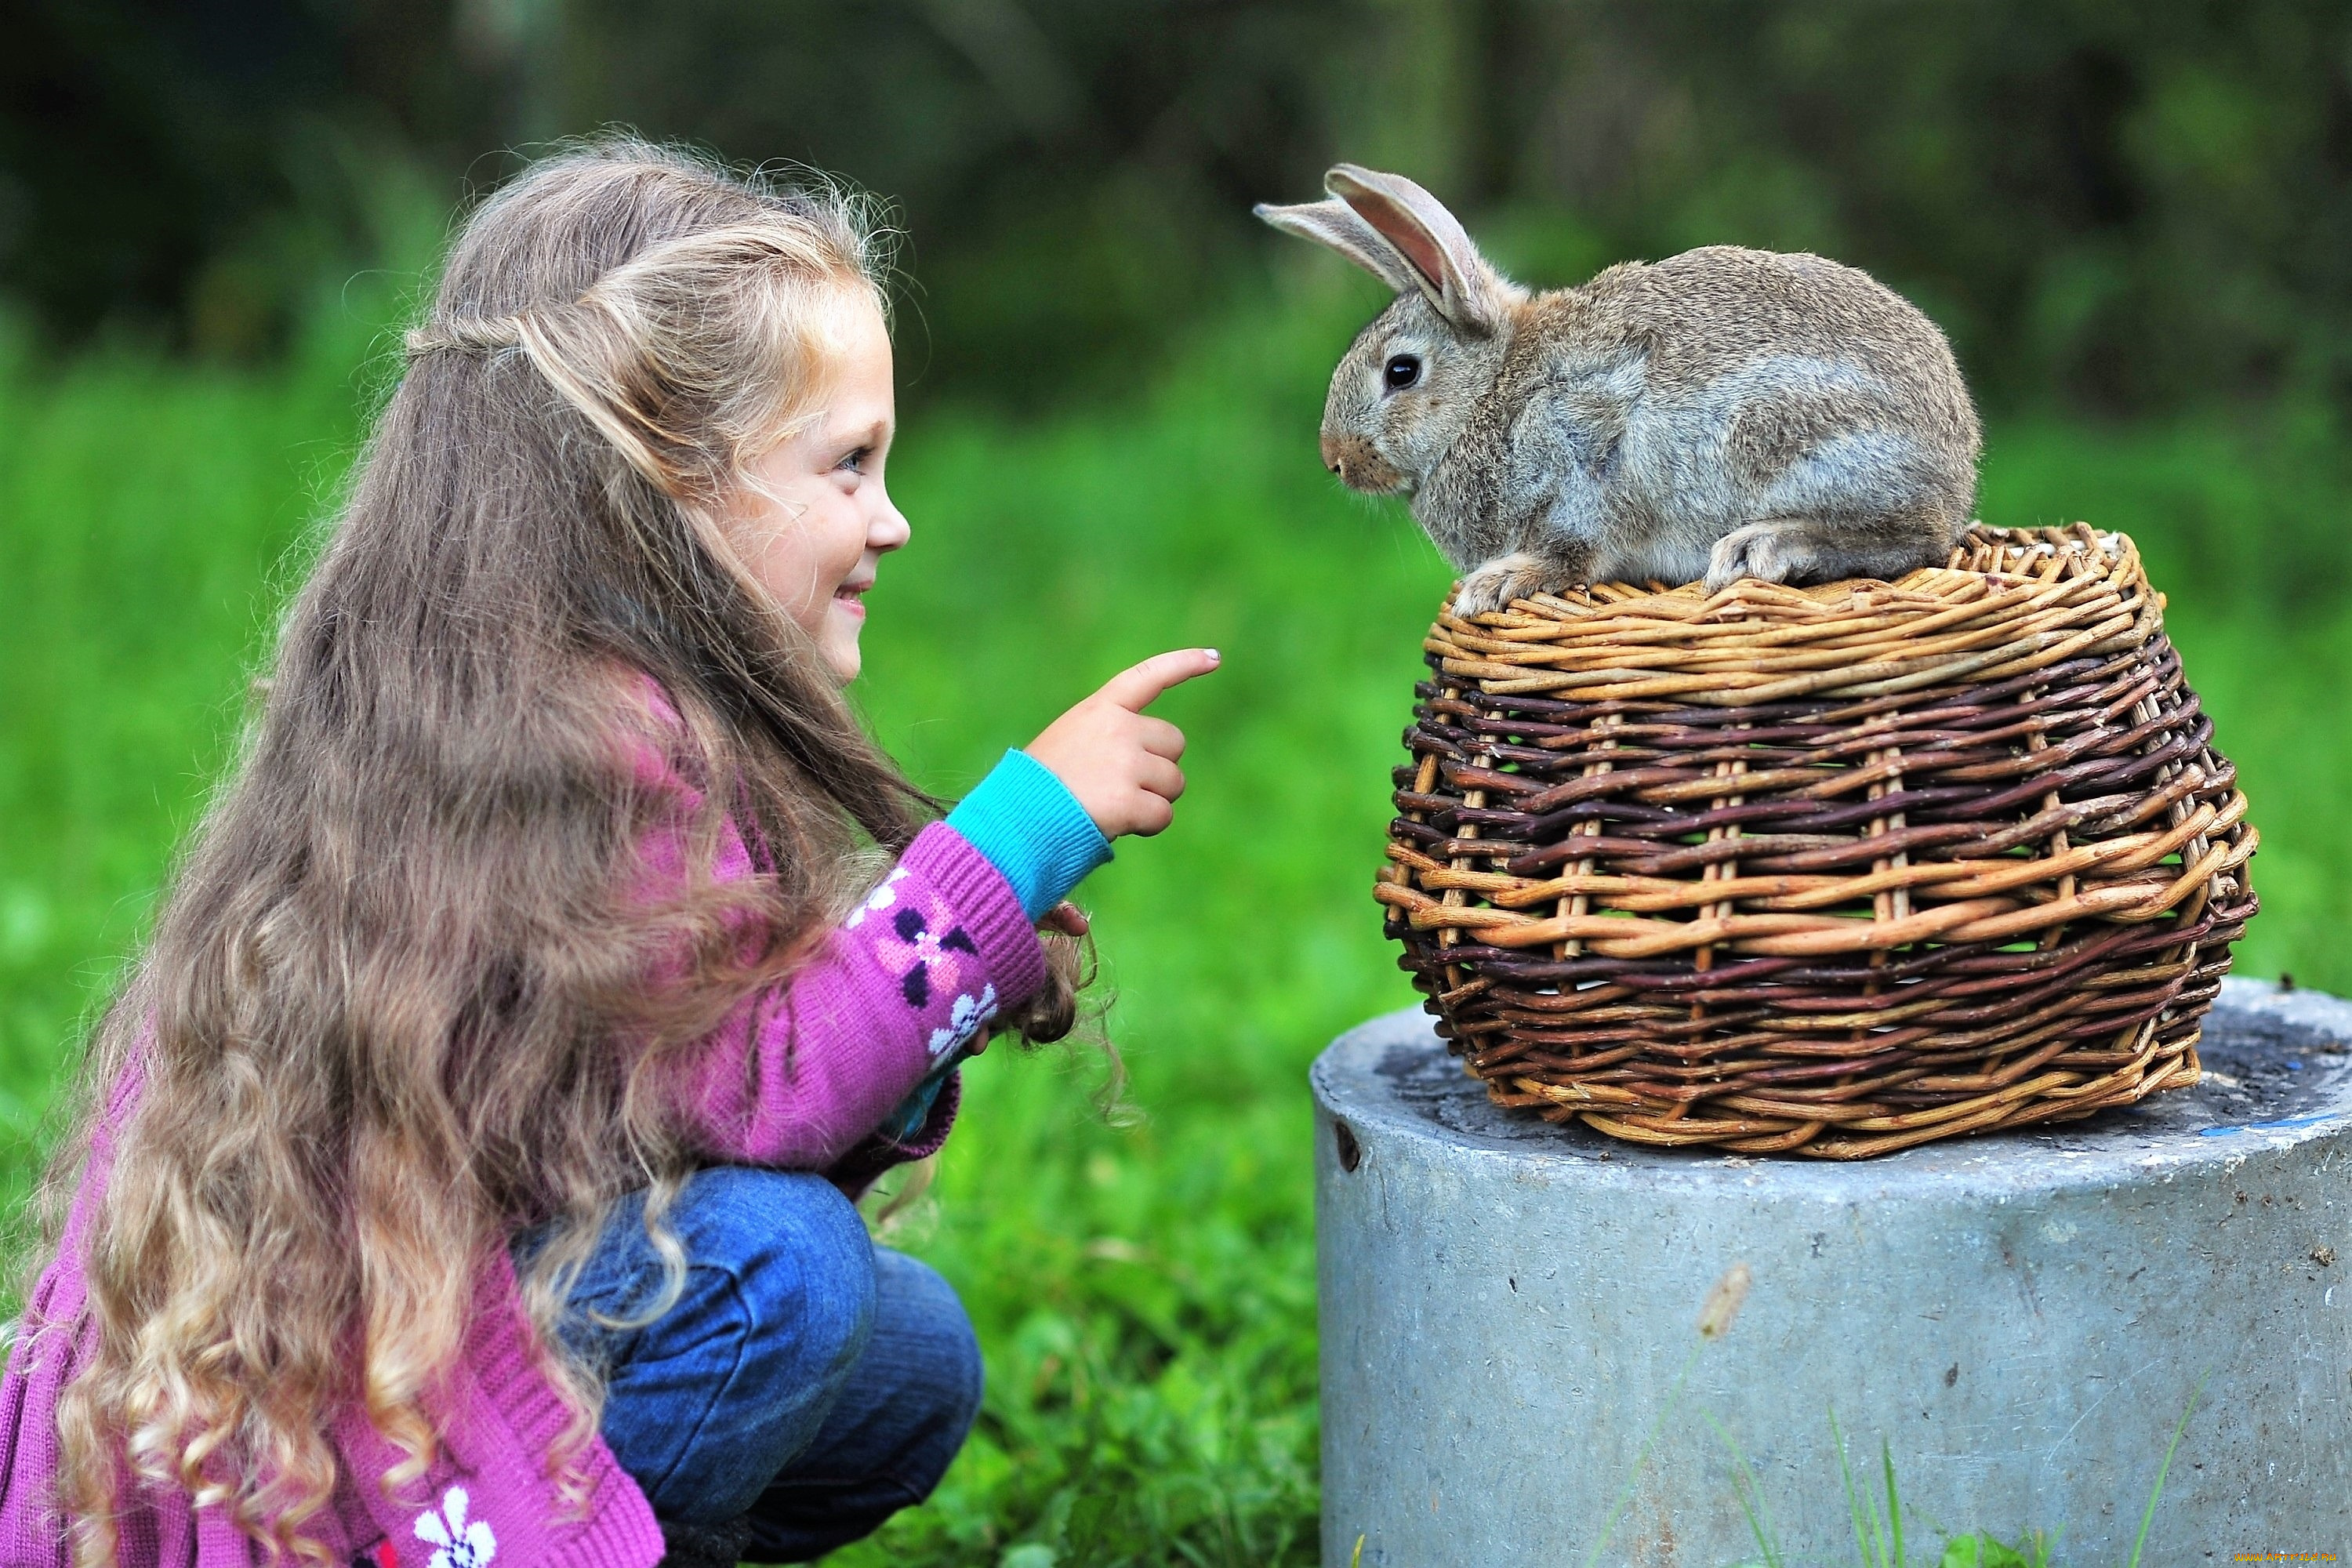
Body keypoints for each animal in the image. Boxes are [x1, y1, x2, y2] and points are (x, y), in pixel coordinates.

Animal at [1261, 164, 1976, 611]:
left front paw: (1497, 585)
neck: (1491, 392)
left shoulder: (1575, 461)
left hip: (1783, 437)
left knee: (1916, 541)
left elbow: (1572, 552)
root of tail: (1959, 468)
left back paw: (1766, 547)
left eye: (1401, 372)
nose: (1334, 459)